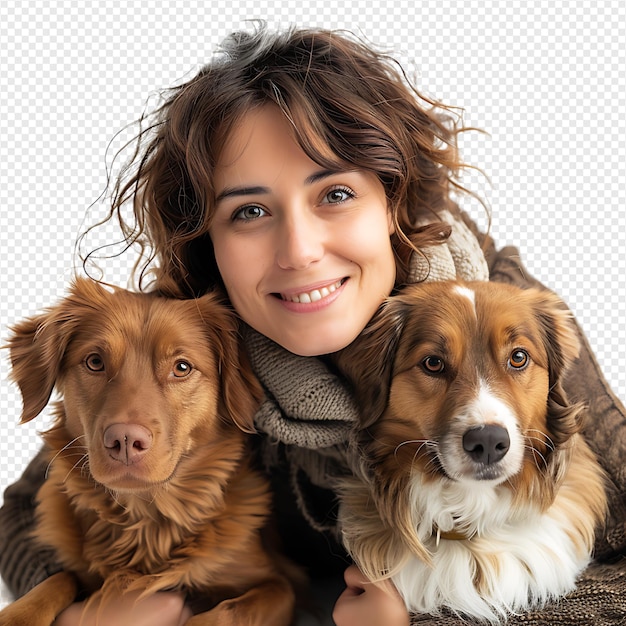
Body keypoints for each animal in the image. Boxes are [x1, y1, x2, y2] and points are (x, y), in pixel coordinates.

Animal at [0, 278, 298, 624]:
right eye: (94, 362)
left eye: (181, 367)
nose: (125, 440)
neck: (146, 520)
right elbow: (57, 580)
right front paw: (18, 614)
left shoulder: (277, 584)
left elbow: (229, 612)